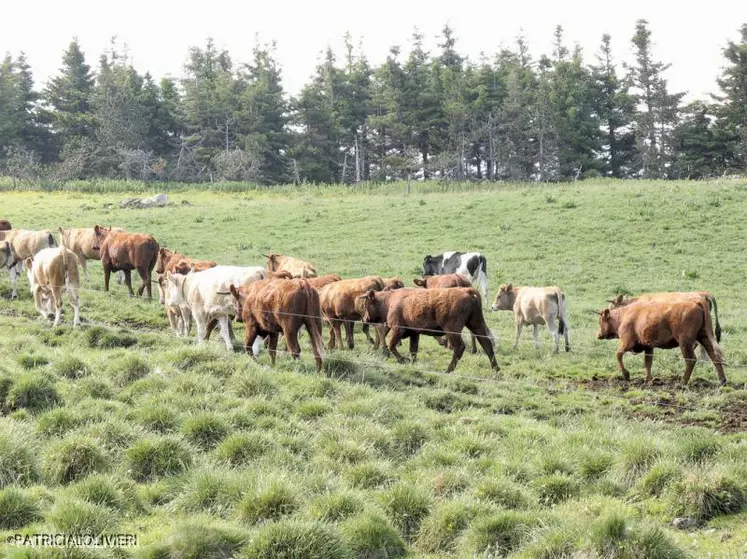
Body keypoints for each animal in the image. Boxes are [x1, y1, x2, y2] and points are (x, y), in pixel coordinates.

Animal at [360, 288, 500, 372]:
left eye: (366, 304)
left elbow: (392, 345)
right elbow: (413, 349)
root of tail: (467, 290)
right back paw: (496, 369)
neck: (389, 301)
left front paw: (402, 360)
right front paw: (412, 362)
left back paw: (448, 369)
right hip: (476, 324)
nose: (365, 318)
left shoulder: (398, 330)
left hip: (452, 330)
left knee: (460, 347)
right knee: (486, 343)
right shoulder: (414, 333)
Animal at [596, 300, 724, 388]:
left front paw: (626, 374)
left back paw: (682, 382)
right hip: (704, 338)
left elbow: (618, 354)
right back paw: (722, 380)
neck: (624, 316)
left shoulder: (627, 342)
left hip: (685, 343)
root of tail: (697, 302)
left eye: (601, 321)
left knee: (691, 360)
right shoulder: (648, 346)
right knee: (715, 357)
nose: (598, 335)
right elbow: (648, 363)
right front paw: (648, 380)